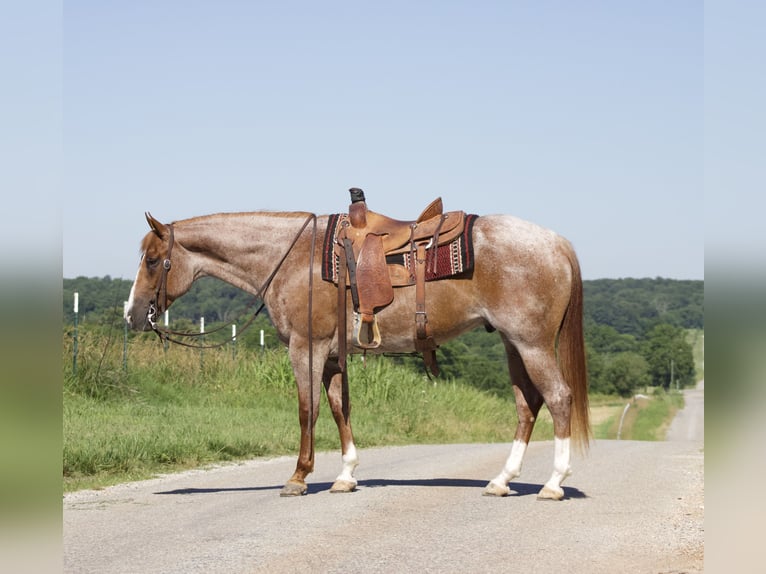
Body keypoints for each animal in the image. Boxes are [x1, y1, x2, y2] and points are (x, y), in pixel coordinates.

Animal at [127, 206, 592, 500]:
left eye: (152, 260)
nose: (133, 314)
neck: (294, 258)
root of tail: (556, 242)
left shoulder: (306, 347)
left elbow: (308, 409)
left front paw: (299, 477)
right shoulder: (333, 354)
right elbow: (339, 408)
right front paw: (346, 476)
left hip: (531, 344)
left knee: (558, 399)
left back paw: (553, 484)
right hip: (514, 344)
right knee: (527, 405)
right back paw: (501, 481)